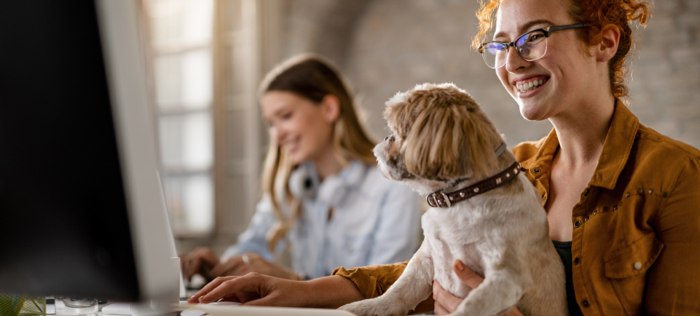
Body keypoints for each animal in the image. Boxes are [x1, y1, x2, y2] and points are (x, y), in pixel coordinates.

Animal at [340, 82, 568, 314]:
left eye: (400, 131)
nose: (387, 138)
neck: (463, 197)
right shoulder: (426, 257)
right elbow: (399, 290)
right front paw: (365, 307)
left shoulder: (506, 278)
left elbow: (471, 305)